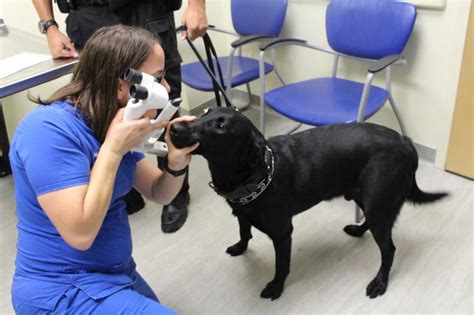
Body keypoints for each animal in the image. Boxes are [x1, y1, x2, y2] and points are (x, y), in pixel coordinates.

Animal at [171, 108, 448, 302]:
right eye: (206, 112)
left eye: (220, 125)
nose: (174, 127)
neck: (254, 175)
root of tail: (404, 141)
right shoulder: (242, 214)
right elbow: (244, 231)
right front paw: (240, 247)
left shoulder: (283, 234)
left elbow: (281, 265)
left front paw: (276, 287)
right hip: (367, 198)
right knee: (370, 223)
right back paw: (357, 230)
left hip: (379, 203)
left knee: (389, 249)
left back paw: (380, 282)